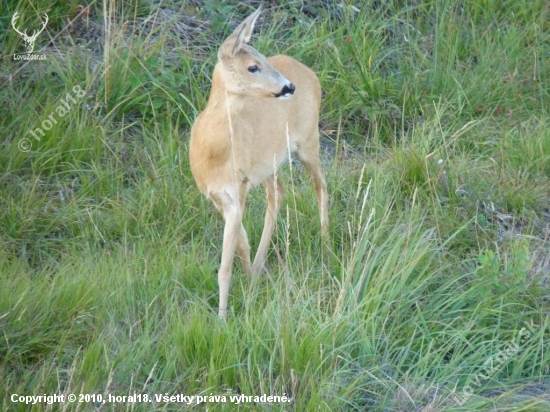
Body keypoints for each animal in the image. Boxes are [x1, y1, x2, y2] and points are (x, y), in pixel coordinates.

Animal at [190, 6, 330, 318]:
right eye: (253, 66)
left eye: (264, 59)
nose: (288, 86)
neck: (214, 154)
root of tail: (311, 73)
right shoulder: (218, 196)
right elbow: (241, 241)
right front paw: (249, 282)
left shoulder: (237, 188)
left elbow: (225, 265)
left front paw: (222, 318)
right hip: (268, 165)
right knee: (278, 194)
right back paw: (258, 267)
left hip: (308, 140)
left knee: (320, 184)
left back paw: (327, 241)